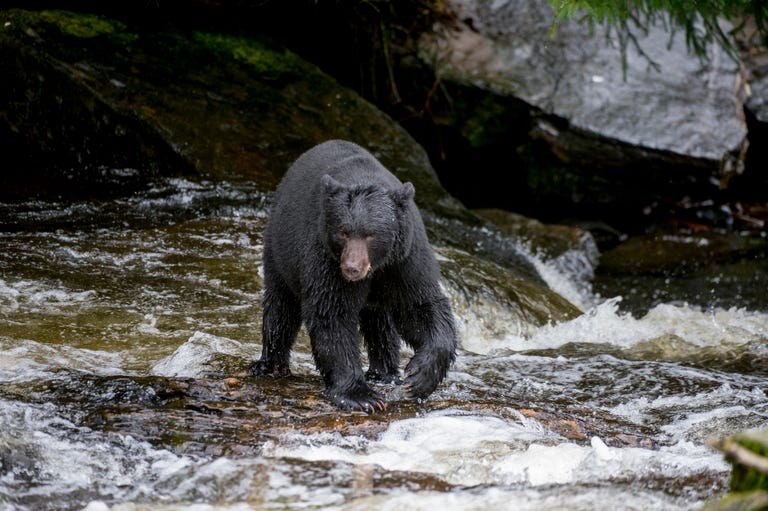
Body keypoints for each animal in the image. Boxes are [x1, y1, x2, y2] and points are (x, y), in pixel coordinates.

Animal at [252, 140, 456, 412]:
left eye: (371, 234)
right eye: (343, 232)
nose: (351, 268)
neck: (377, 266)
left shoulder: (405, 258)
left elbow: (420, 305)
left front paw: (420, 376)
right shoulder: (325, 256)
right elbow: (332, 313)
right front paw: (360, 396)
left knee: (381, 323)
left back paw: (385, 372)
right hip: (280, 249)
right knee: (280, 307)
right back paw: (270, 365)